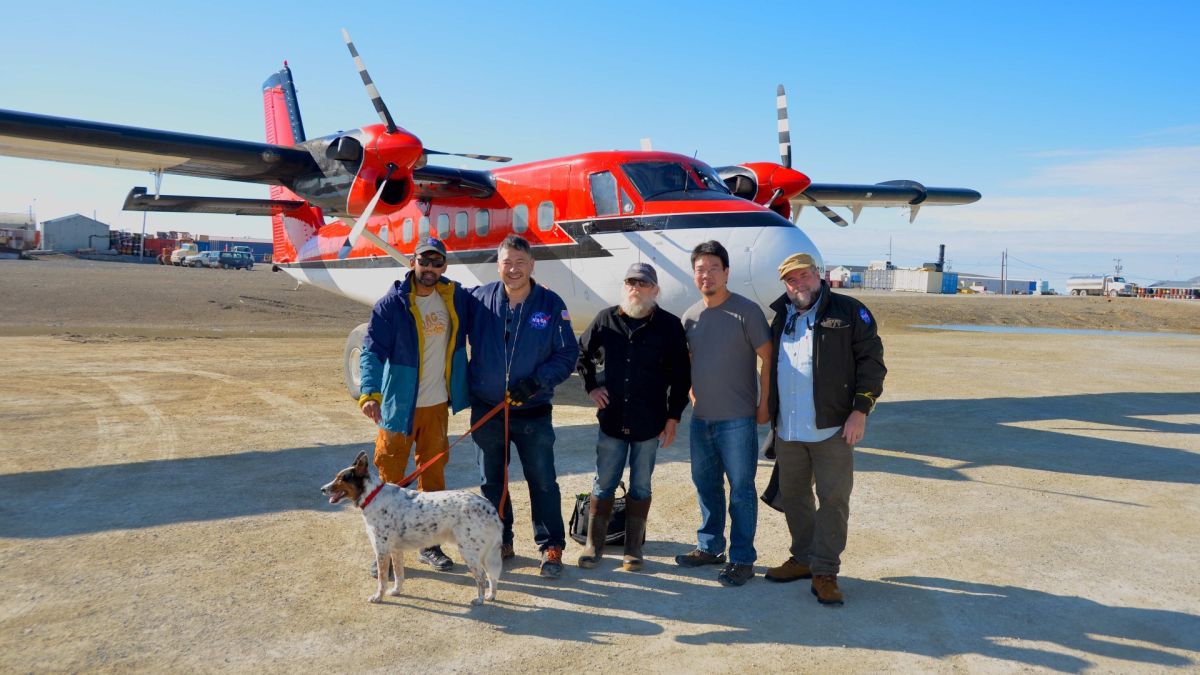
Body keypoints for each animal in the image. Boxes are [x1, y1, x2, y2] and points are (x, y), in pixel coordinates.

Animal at [319, 449, 501, 600]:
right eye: (336, 477)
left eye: (341, 479)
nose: (322, 489)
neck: (372, 495)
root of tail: (490, 507)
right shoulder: (395, 551)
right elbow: (399, 575)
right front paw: (396, 591)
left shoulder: (382, 550)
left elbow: (382, 580)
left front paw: (378, 597)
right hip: (484, 554)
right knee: (492, 576)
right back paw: (491, 596)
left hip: (470, 552)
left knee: (482, 577)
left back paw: (480, 600)